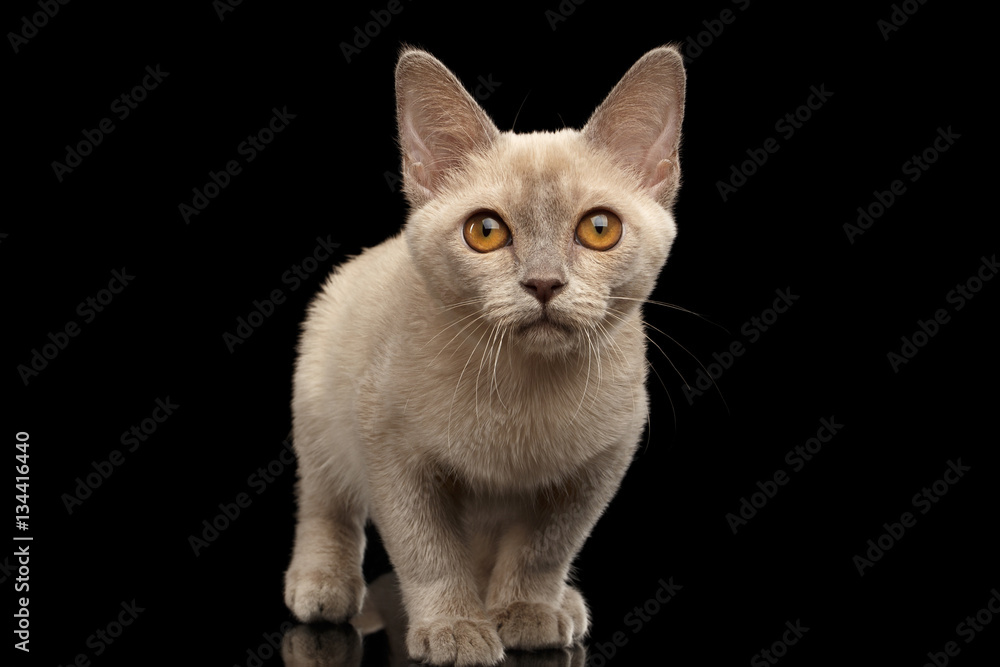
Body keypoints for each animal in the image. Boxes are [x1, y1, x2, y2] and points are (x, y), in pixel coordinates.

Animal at [286, 44, 684, 664]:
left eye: (599, 229)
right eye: (486, 232)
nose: (543, 283)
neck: (524, 392)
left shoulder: (599, 465)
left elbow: (544, 548)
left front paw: (524, 611)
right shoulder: (394, 455)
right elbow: (427, 550)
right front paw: (454, 626)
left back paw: (559, 604)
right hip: (319, 407)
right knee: (327, 505)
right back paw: (323, 585)